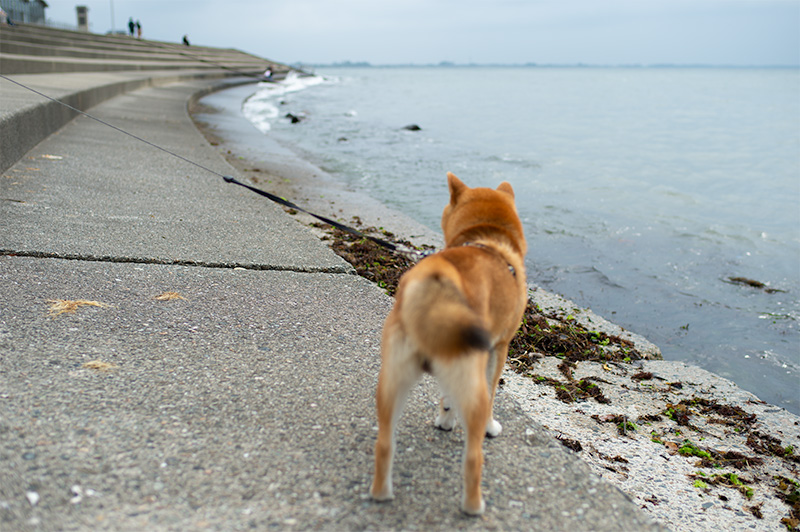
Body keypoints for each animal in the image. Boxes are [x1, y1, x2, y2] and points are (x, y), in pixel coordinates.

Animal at [372, 172, 528, 512]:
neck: (488, 240)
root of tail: (436, 283)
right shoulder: (498, 350)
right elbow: (494, 393)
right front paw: (490, 427)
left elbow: (445, 397)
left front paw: (444, 419)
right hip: (472, 385)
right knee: (473, 458)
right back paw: (474, 506)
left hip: (392, 383)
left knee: (384, 444)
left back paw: (381, 493)